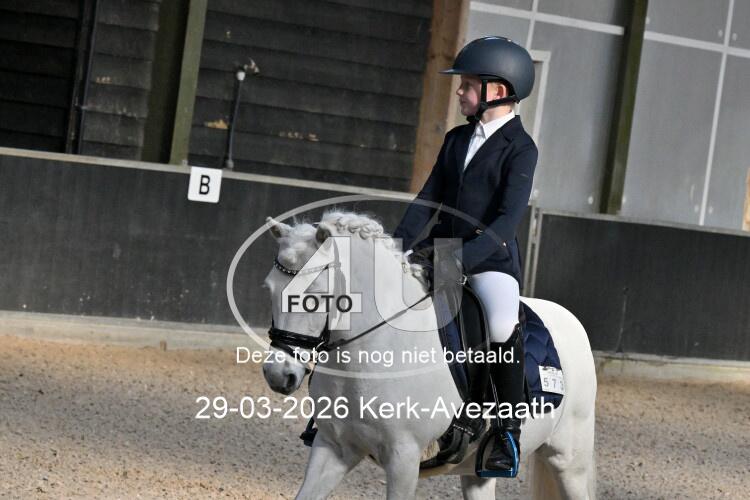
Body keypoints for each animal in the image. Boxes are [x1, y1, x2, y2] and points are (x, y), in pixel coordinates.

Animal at [261, 210, 597, 500]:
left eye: (314, 296)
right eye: (270, 290)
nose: (278, 375)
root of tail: (570, 318)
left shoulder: (404, 458)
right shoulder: (334, 446)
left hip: (570, 463)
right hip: (477, 472)